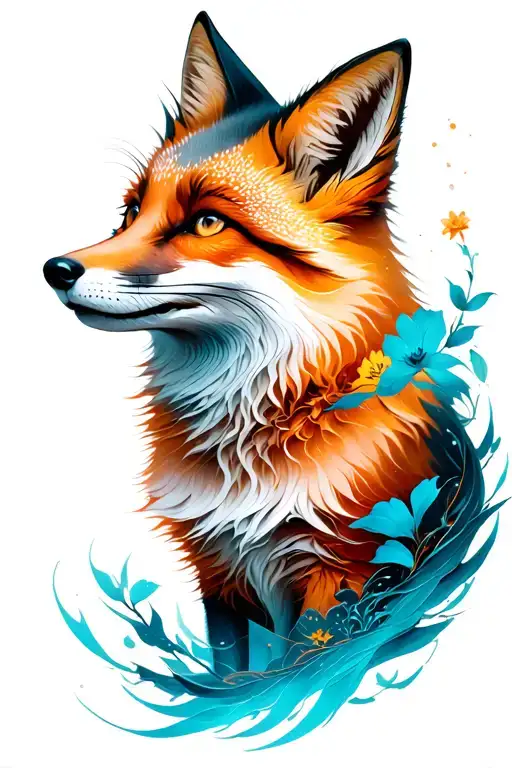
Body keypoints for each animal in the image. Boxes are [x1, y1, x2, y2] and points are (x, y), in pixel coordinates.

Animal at [44, 12, 442, 673]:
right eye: (129, 212)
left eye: (207, 222)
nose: (55, 270)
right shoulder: (221, 575)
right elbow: (240, 677)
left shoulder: (345, 573)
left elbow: (300, 677)